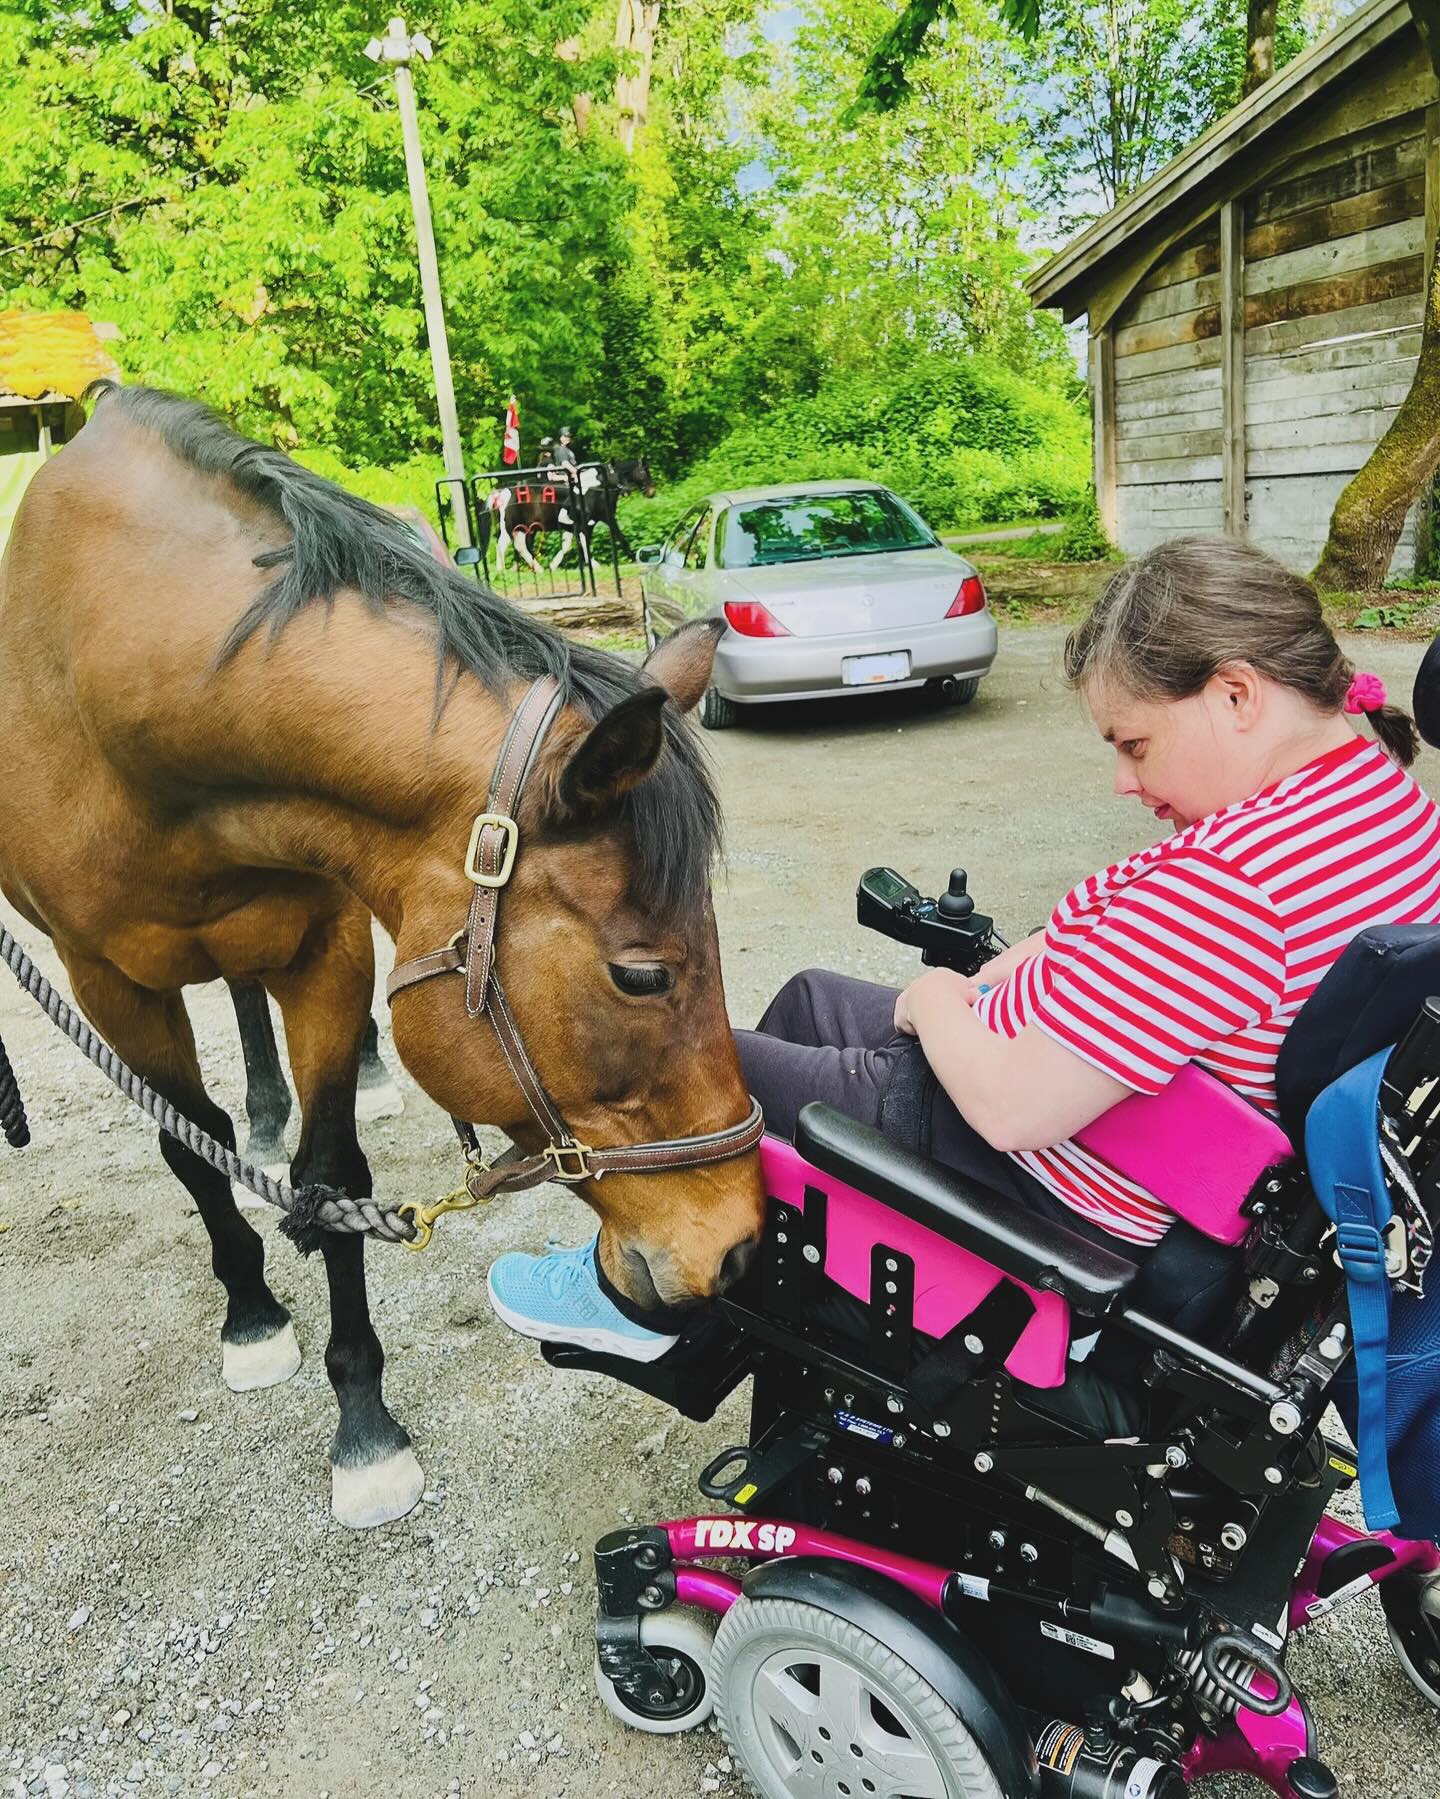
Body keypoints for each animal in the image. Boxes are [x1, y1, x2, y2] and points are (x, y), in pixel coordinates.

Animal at [0, 382, 764, 1530]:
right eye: (642, 974)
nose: (742, 1245)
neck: (120, 692)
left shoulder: (325, 943)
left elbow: (333, 1175)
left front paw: (362, 1419)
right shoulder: (107, 981)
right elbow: (191, 1149)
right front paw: (253, 1314)